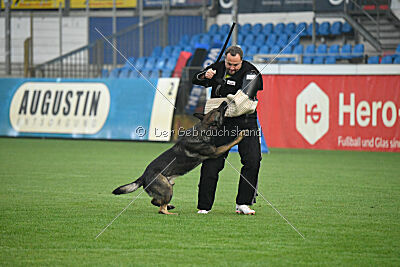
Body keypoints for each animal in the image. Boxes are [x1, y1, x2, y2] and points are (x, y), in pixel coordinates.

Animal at [112, 101, 244, 217]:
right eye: (217, 110)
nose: (224, 102)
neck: (204, 129)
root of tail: (143, 176)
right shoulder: (216, 151)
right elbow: (230, 143)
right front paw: (240, 135)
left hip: (168, 187)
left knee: (155, 201)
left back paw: (169, 206)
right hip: (167, 189)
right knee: (161, 209)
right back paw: (170, 212)